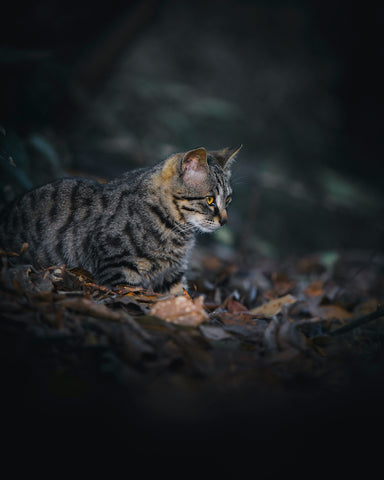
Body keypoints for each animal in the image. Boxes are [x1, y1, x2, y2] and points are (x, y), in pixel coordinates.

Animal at [0, 144, 240, 294]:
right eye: (210, 200)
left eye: (227, 200)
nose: (225, 221)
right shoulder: (119, 266)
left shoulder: (171, 274)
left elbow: (179, 297)